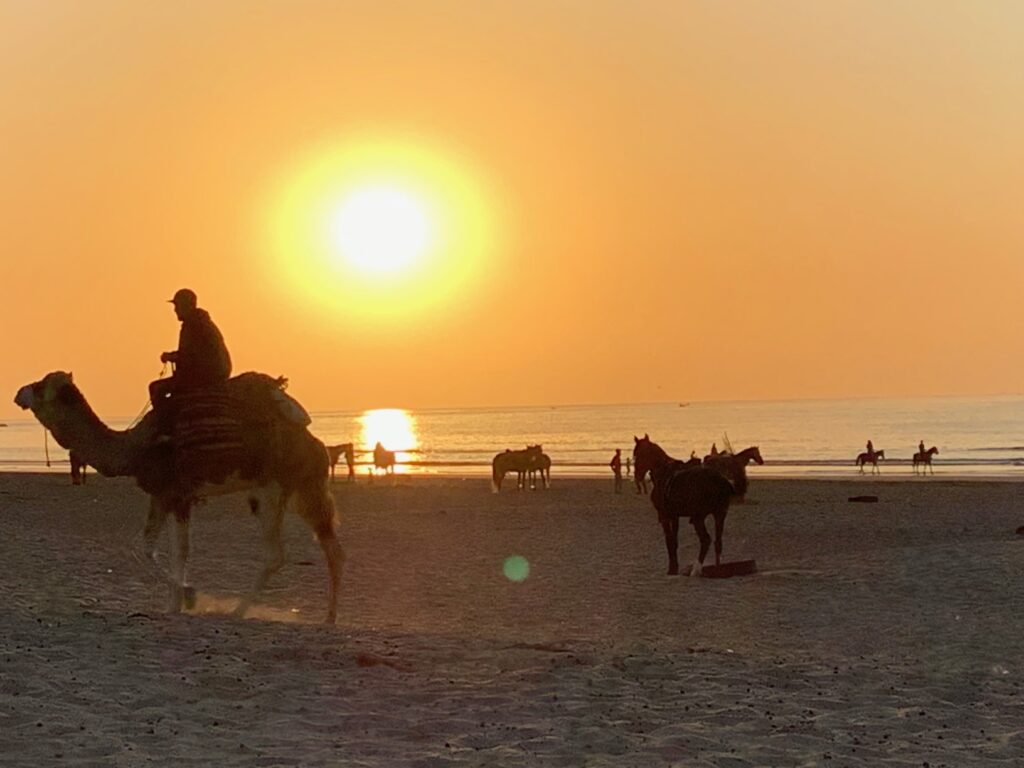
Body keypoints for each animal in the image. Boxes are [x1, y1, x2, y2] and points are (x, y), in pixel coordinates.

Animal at [14, 368, 344, 626]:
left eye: (40, 385)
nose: (19, 392)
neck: (133, 449)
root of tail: (313, 440)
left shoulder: (176, 494)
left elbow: (170, 550)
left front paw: (188, 597)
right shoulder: (164, 495)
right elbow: (149, 547)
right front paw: (175, 603)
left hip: (274, 487)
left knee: (280, 553)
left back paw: (243, 612)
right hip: (296, 489)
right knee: (327, 545)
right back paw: (326, 617)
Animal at [630, 438, 737, 577]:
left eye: (640, 454)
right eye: (635, 454)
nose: (637, 475)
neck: (663, 473)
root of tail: (721, 481)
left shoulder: (664, 516)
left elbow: (669, 541)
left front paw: (671, 569)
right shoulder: (675, 517)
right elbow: (674, 542)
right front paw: (675, 567)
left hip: (698, 518)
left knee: (706, 540)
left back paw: (696, 570)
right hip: (720, 514)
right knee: (717, 543)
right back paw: (717, 570)